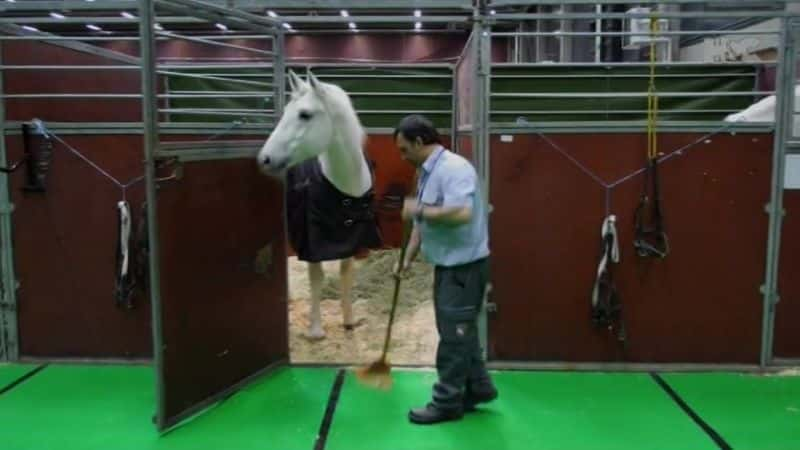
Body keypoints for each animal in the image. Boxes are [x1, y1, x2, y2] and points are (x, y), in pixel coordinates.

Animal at [258, 69, 380, 338]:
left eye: (305, 114)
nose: (264, 159)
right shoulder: (312, 243)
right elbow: (317, 277)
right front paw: (315, 330)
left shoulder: (352, 240)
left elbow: (346, 274)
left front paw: (349, 321)